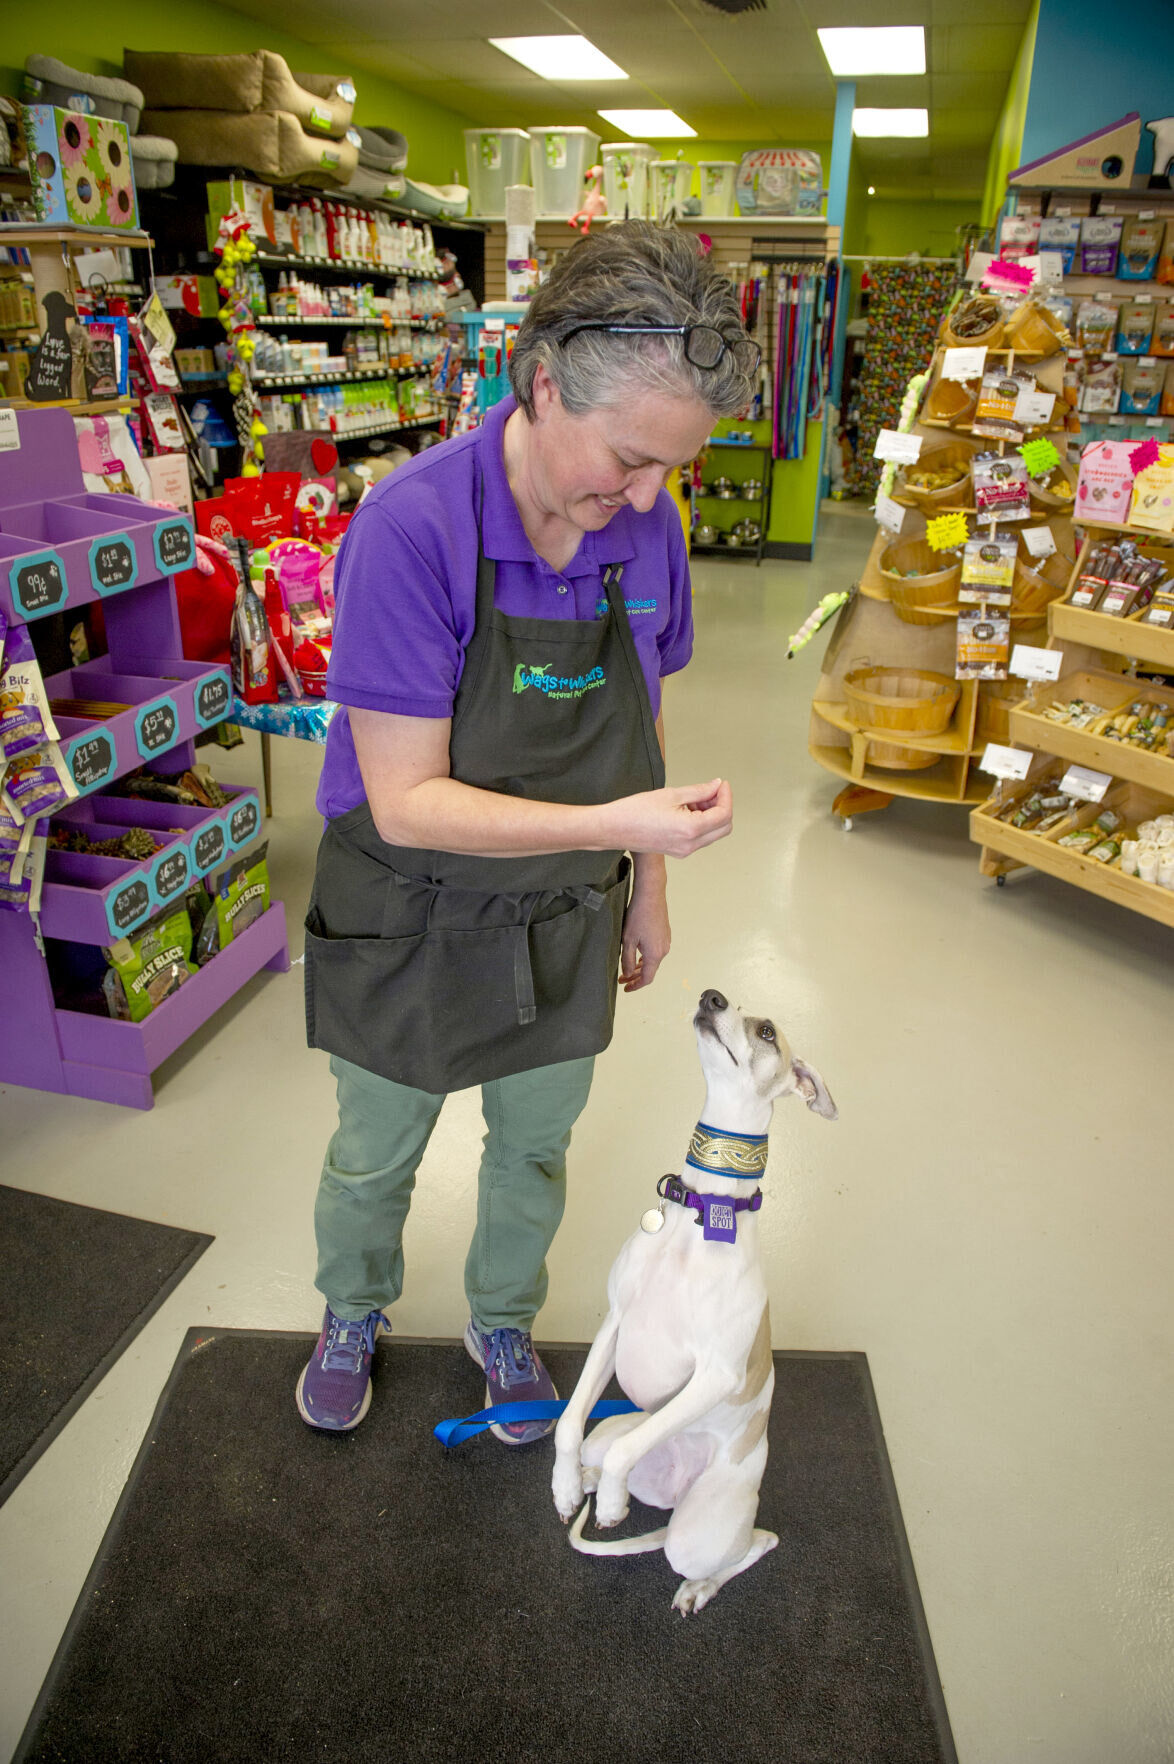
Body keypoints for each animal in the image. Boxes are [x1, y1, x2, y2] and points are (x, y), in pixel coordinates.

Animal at [549, 987, 832, 1615]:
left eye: (768, 1031)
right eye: (729, 1002)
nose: (711, 996)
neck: (704, 1209)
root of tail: (677, 1499)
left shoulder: (715, 1375)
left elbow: (625, 1456)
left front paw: (610, 1506)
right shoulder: (613, 1326)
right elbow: (568, 1421)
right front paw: (563, 1487)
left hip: (699, 1533)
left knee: (756, 1541)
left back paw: (695, 1584)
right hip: (613, 1432)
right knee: (600, 1449)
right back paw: (585, 1482)